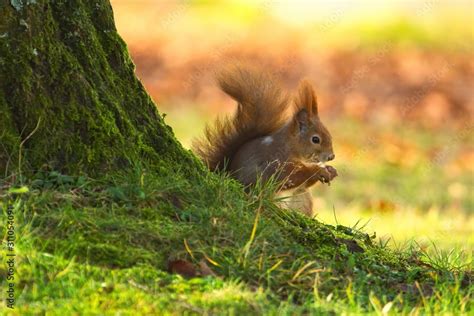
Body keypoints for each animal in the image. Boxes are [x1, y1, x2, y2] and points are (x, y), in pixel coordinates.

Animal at [193, 64, 336, 217]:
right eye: (315, 139)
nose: (331, 156)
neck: (290, 147)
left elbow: (302, 183)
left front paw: (330, 170)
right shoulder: (276, 162)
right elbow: (289, 178)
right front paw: (318, 170)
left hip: (302, 198)